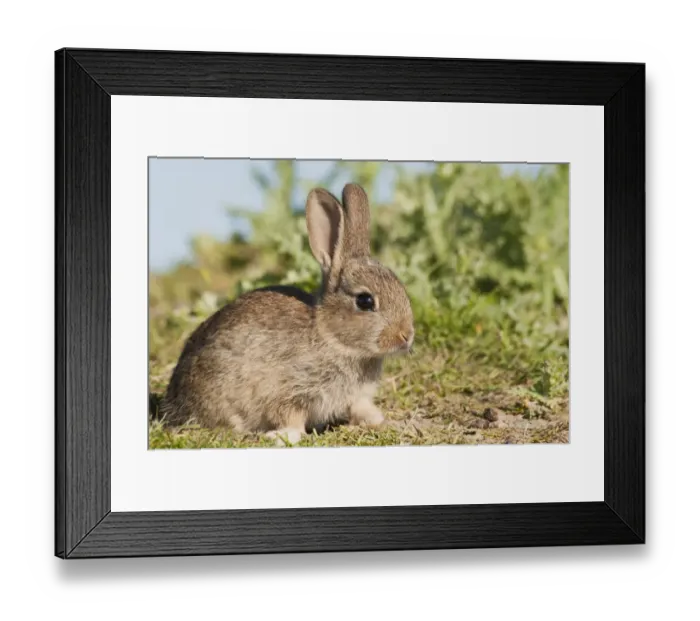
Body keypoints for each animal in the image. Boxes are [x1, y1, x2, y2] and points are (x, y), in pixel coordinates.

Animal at [158, 182, 415, 446]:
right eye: (365, 301)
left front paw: (387, 422)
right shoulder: (288, 390)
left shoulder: (354, 397)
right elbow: (291, 418)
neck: (331, 336)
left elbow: (362, 410)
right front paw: (282, 435)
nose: (407, 336)